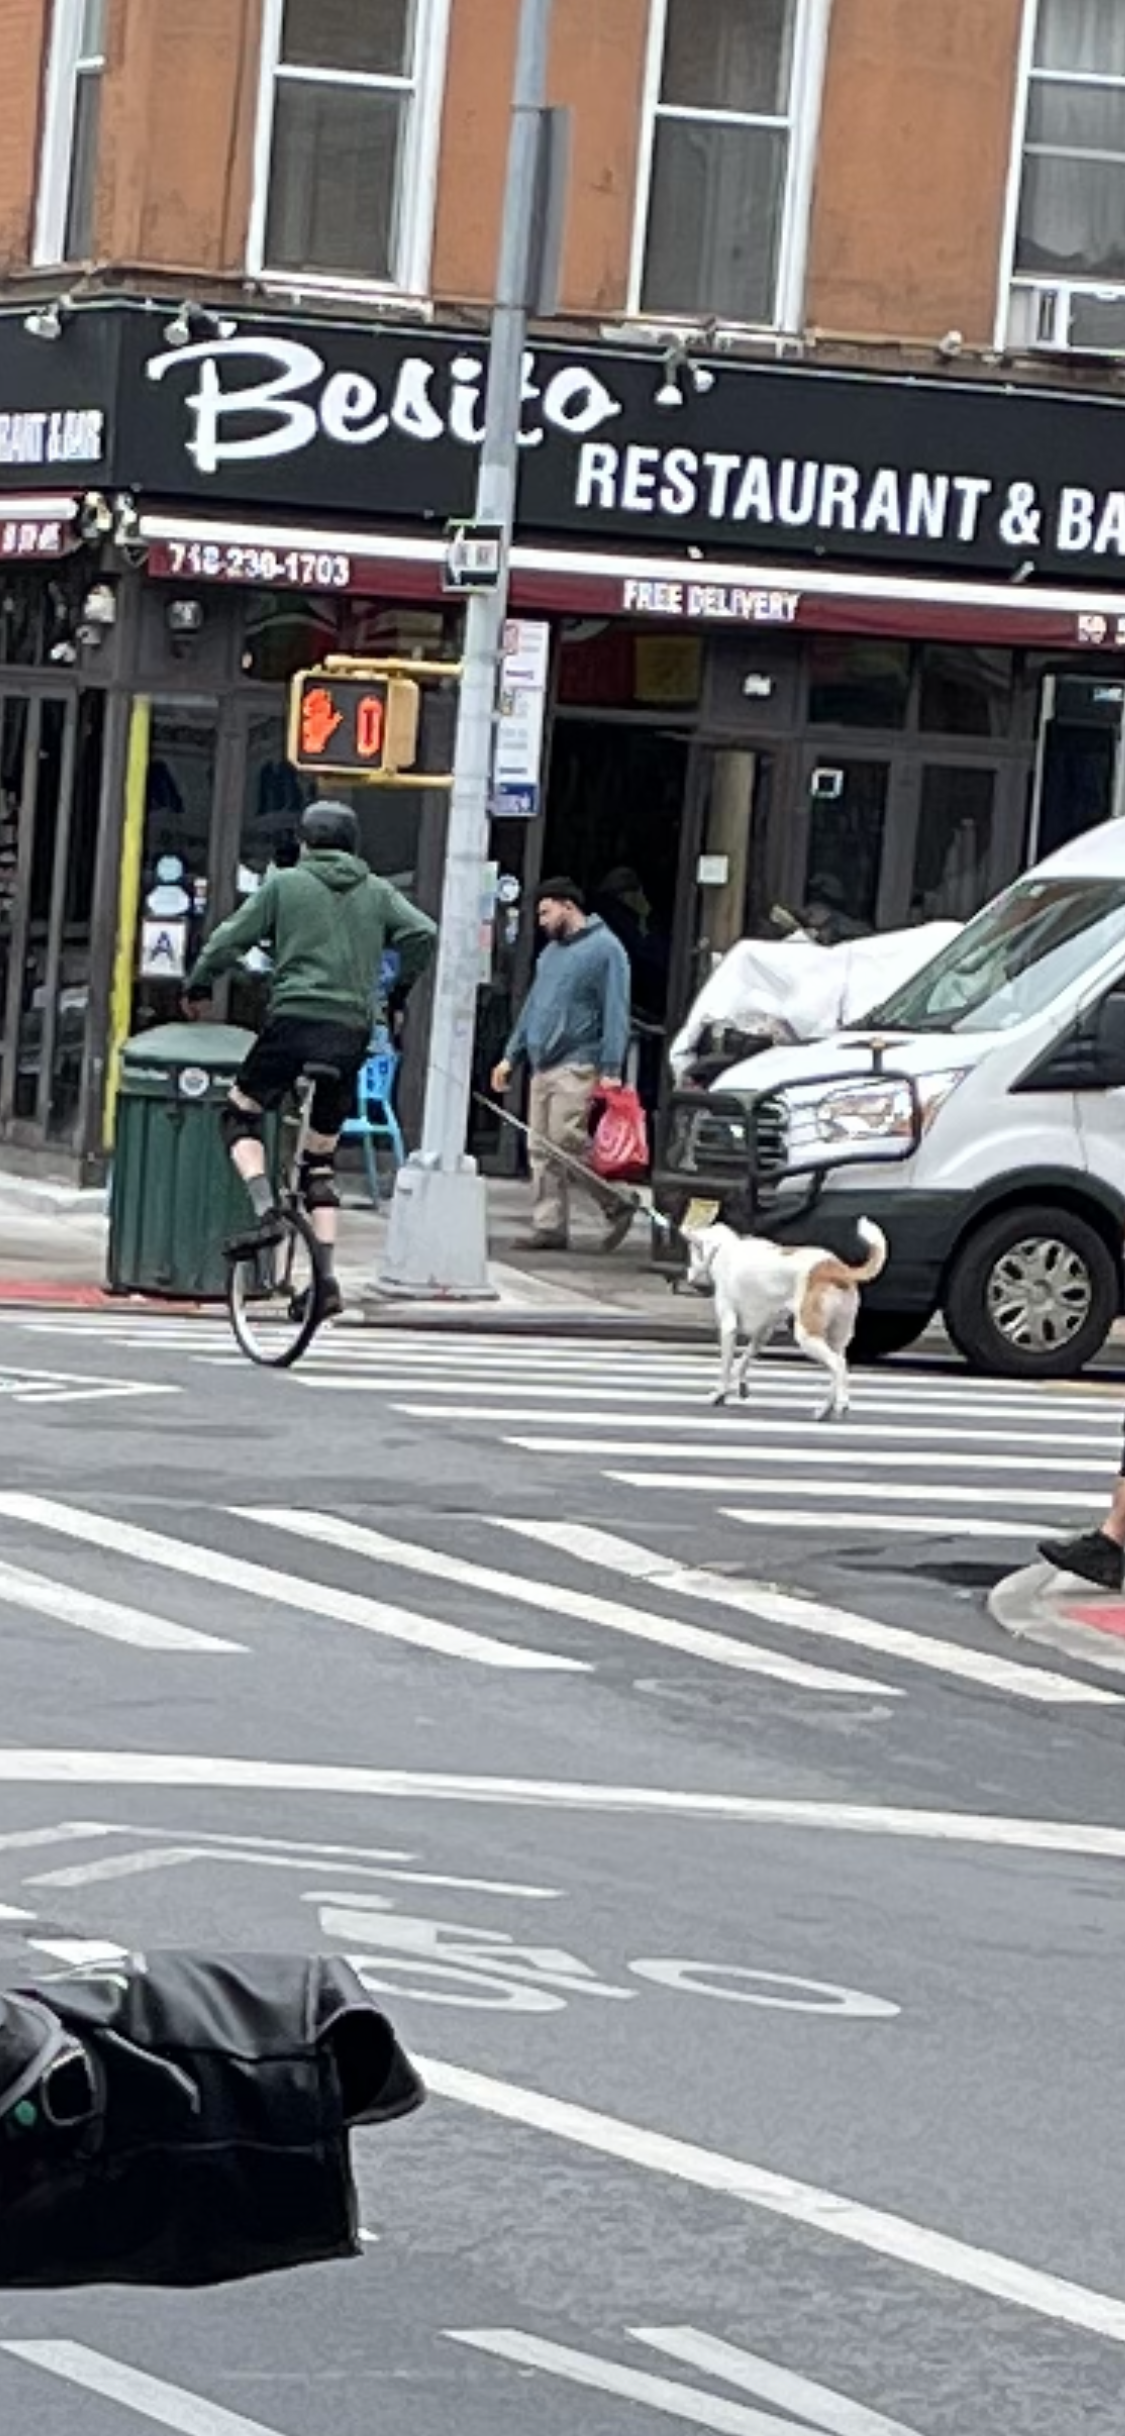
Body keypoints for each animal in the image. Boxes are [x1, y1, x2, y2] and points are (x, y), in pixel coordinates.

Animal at [686, 1227, 886, 1422]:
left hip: (807, 1336)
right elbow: (743, 1361)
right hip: (835, 1339)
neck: (722, 1247)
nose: (687, 1276)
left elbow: (725, 1368)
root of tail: (835, 1266)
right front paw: (739, 1386)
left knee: (838, 1365)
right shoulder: (763, 1333)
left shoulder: (729, 1328)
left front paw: (719, 1394)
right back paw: (825, 1411)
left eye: (691, 1253)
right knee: (837, 1370)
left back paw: (841, 1403)